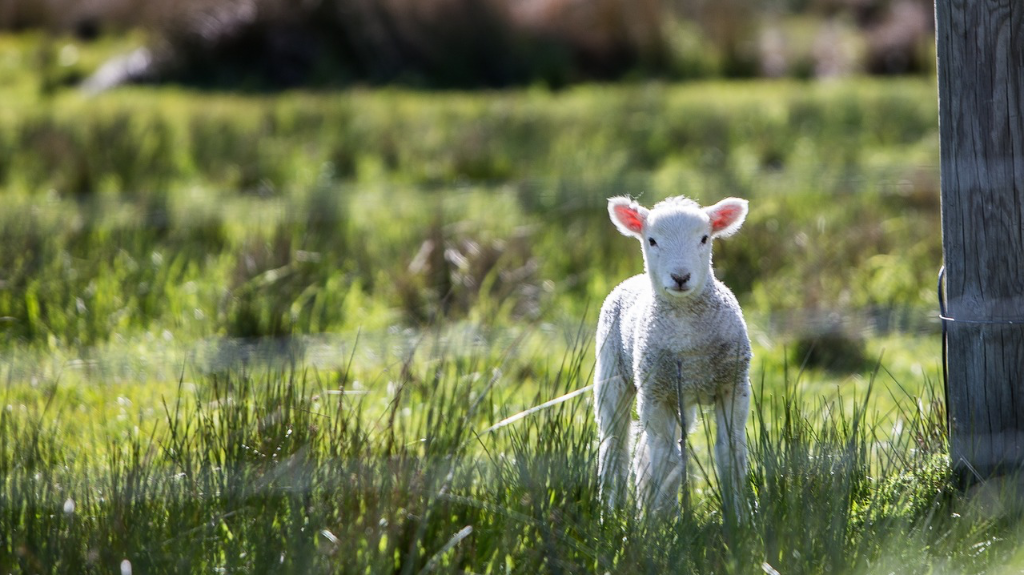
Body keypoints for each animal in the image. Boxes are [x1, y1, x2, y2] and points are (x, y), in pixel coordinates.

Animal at [593, 192, 753, 515]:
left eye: (704, 238)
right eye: (652, 240)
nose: (680, 277)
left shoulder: (733, 385)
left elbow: (730, 452)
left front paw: (738, 515)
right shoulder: (656, 394)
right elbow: (665, 460)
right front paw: (664, 520)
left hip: (682, 397)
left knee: (647, 446)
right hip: (612, 374)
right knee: (615, 444)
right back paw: (611, 510)